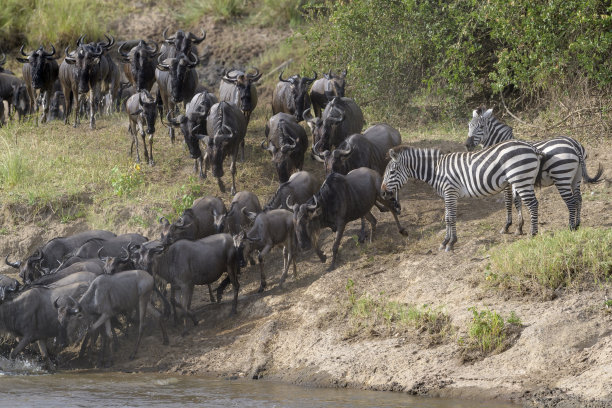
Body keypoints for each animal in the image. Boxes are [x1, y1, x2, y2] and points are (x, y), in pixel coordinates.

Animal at [380, 142, 544, 253]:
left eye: (392, 172)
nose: (382, 193)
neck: (436, 170)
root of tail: (530, 147)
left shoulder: (450, 192)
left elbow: (451, 218)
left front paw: (451, 243)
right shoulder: (446, 195)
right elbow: (447, 218)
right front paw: (445, 242)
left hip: (521, 179)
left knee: (533, 204)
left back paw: (533, 234)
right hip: (523, 180)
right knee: (529, 202)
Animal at [468, 107, 604, 231]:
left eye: (481, 127)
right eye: (469, 126)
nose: (467, 144)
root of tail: (574, 145)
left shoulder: (507, 181)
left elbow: (509, 200)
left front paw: (508, 225)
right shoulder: (517, 180)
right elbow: (517, 200)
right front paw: (519, 226)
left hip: (562, 175)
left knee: (572, 201)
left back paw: (571, 227)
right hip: (576, 176)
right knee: (578, 199)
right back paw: (577, 224)